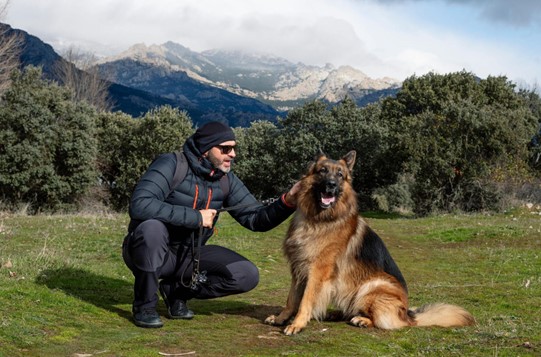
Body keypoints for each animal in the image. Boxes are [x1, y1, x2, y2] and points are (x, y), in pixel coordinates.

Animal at [264, 150, 472, 334]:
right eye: (322, 170)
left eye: (340, 175)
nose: (331, 185)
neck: (319, 219)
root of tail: (409, 314)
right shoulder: (298, 268)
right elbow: (292, 299)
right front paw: (282, 318)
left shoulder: (317, 272)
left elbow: (305, 301)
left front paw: (297, 324)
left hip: (370, 287)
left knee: (390, 322)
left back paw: (363, 320)